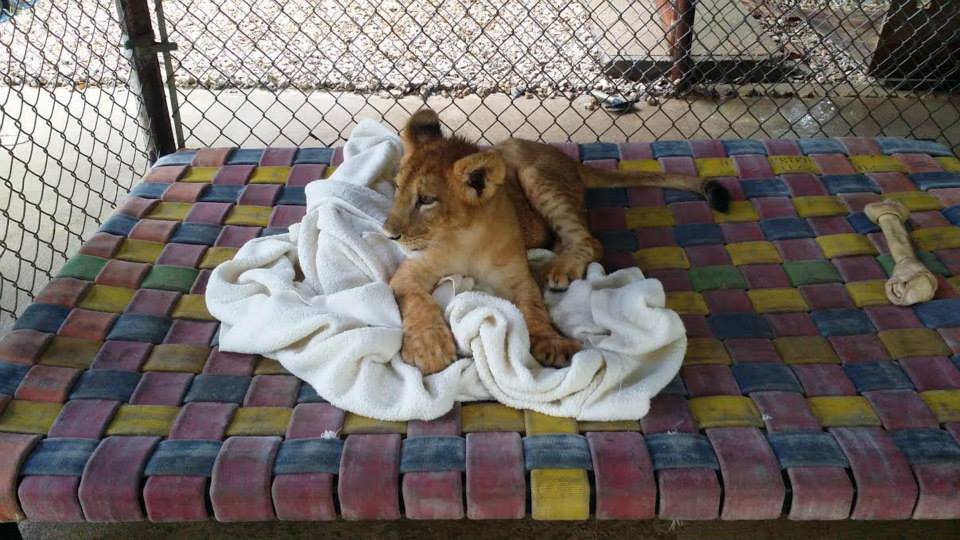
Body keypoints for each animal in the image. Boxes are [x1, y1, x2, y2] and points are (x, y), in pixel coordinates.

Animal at [384, 109, 730, 374]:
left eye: (426, 200)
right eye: (397, 188)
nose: (388, 233)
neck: (465, 237)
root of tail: (564, 156)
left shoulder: (517, 277)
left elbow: (533, 309)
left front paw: (552, 343)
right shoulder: (408, 273)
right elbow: (418, 301)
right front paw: (429, 348)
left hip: (536, 176)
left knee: (590, 240)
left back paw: (558, 269)